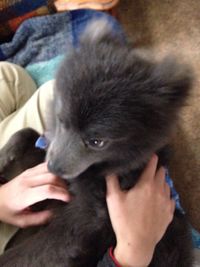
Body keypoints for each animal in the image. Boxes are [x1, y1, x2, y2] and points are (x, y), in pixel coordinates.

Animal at [0, 21, 194, 267]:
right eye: (62, 119)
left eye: (97, 142)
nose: (54, 167)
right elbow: (28, 133)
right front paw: (4, 155)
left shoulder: (85, 220)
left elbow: (34, 250)